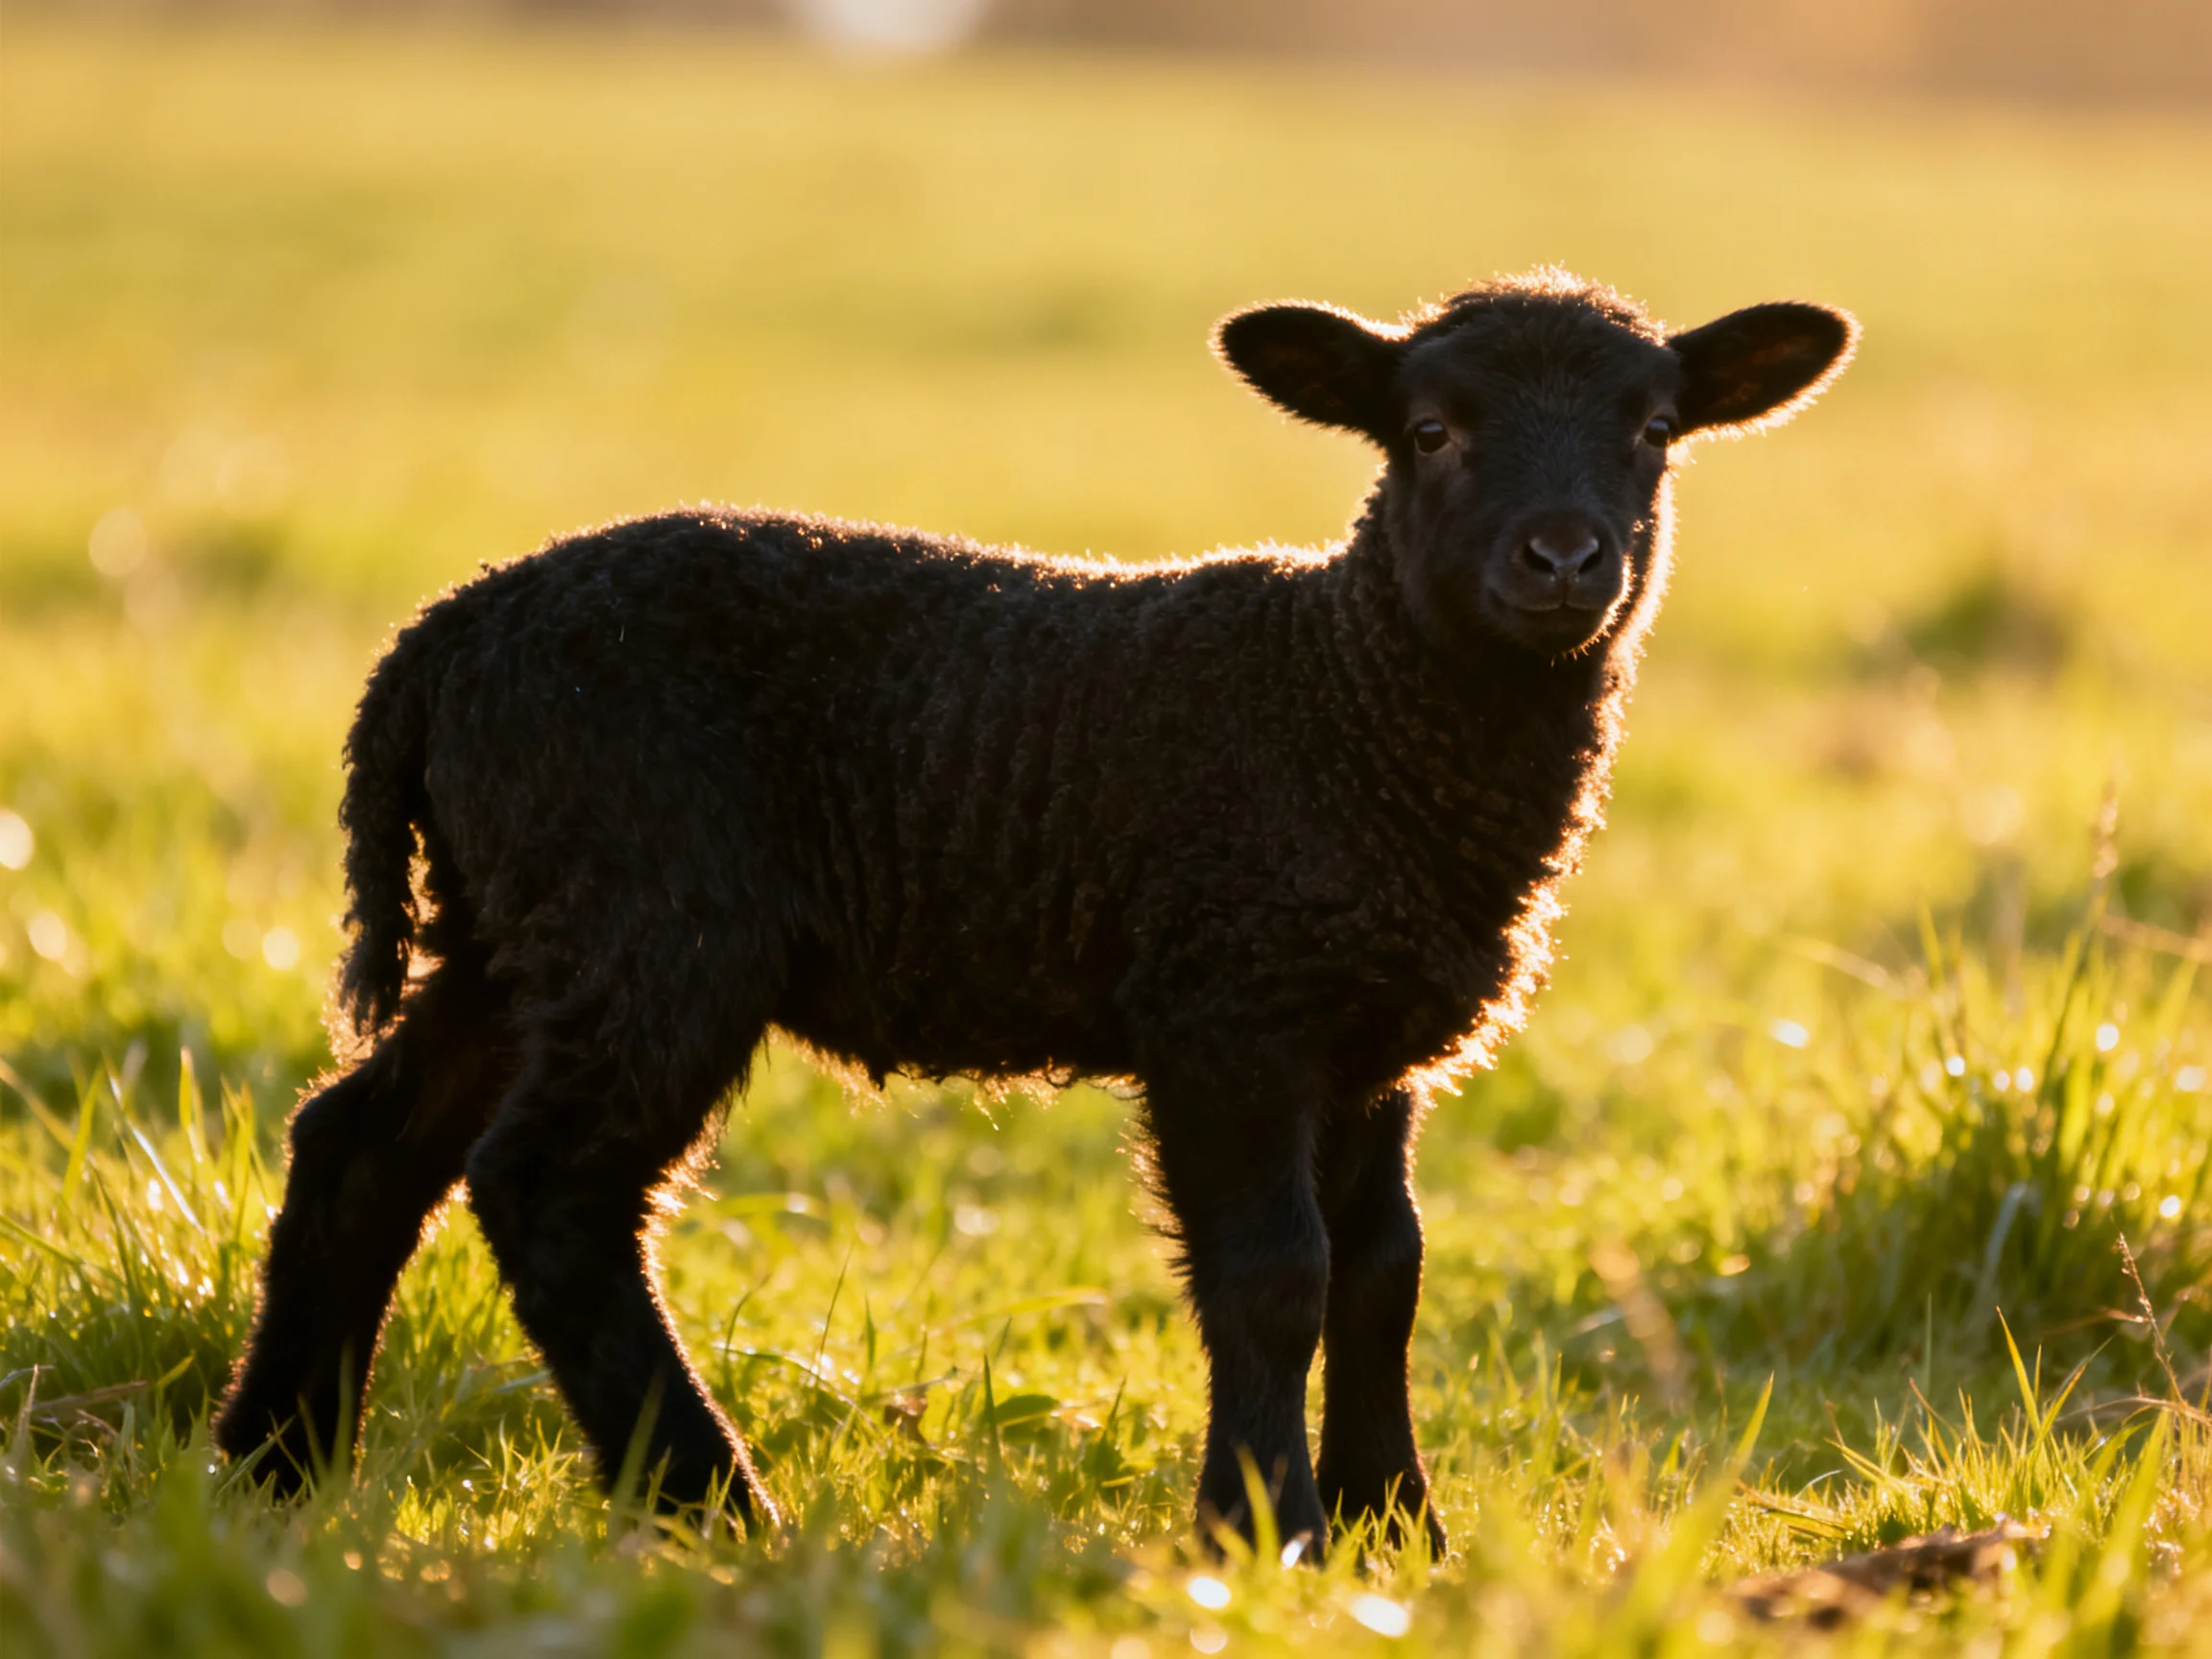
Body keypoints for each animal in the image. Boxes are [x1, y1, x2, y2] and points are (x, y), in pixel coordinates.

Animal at [215, 268, 1856, 1554]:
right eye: (1432, 433)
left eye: (1651, 435)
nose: (1566, 559)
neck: (1352, 697)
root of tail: (443, 637)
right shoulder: (1228, 1009)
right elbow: (1277, 1275)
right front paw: (1263, 1532)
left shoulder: (1367, 1035)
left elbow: (1385, 1271)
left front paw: (1398, 1531)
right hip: (648, 924)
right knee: (549, 1188)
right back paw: (714, 1508)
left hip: (514, 927)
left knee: (362, 1144)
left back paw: (272, 1468)